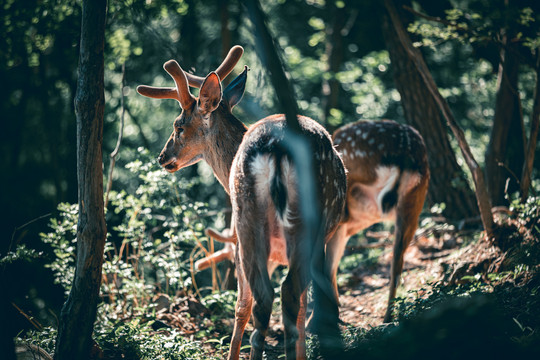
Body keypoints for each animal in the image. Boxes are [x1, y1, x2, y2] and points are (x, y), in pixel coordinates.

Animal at [136, 45, 346, 360]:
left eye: (179, 125)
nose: (162, 157)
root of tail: (276, 149)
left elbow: (247, 306)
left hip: (254, 223)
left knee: (268, 298)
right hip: (284, 223)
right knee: (279, 296)